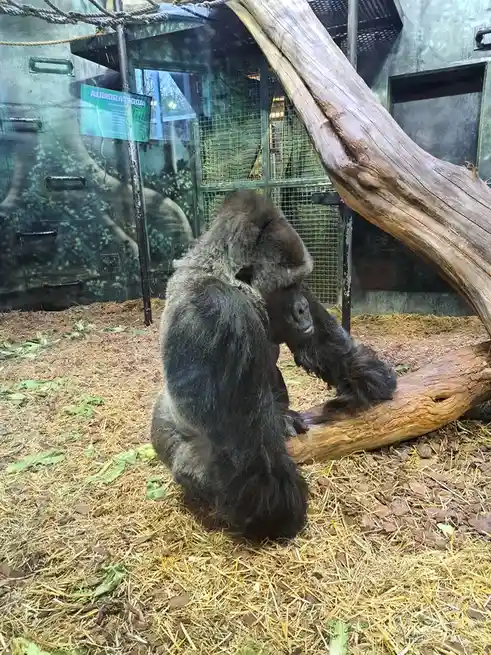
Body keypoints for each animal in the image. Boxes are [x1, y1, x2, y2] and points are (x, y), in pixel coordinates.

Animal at [150, 190, 314, 542]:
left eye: (303, 281)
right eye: (286, 287)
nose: (304, 309)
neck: (219, 271)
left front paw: (284, 417)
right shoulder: (221, 312)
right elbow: (255, 464)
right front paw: (279, 517)